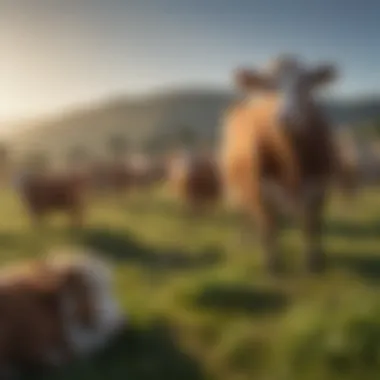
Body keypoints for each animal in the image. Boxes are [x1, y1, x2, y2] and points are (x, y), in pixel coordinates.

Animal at [220, 54, 342, 274]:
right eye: (268, 86)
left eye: (305, 83)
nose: (286, 118)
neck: (292, 167)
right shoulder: (262, 192)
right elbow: (269, 230)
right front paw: (273, 265)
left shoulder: (319, 188)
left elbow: (312, 227)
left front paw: (314, 262)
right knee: (249, 218)